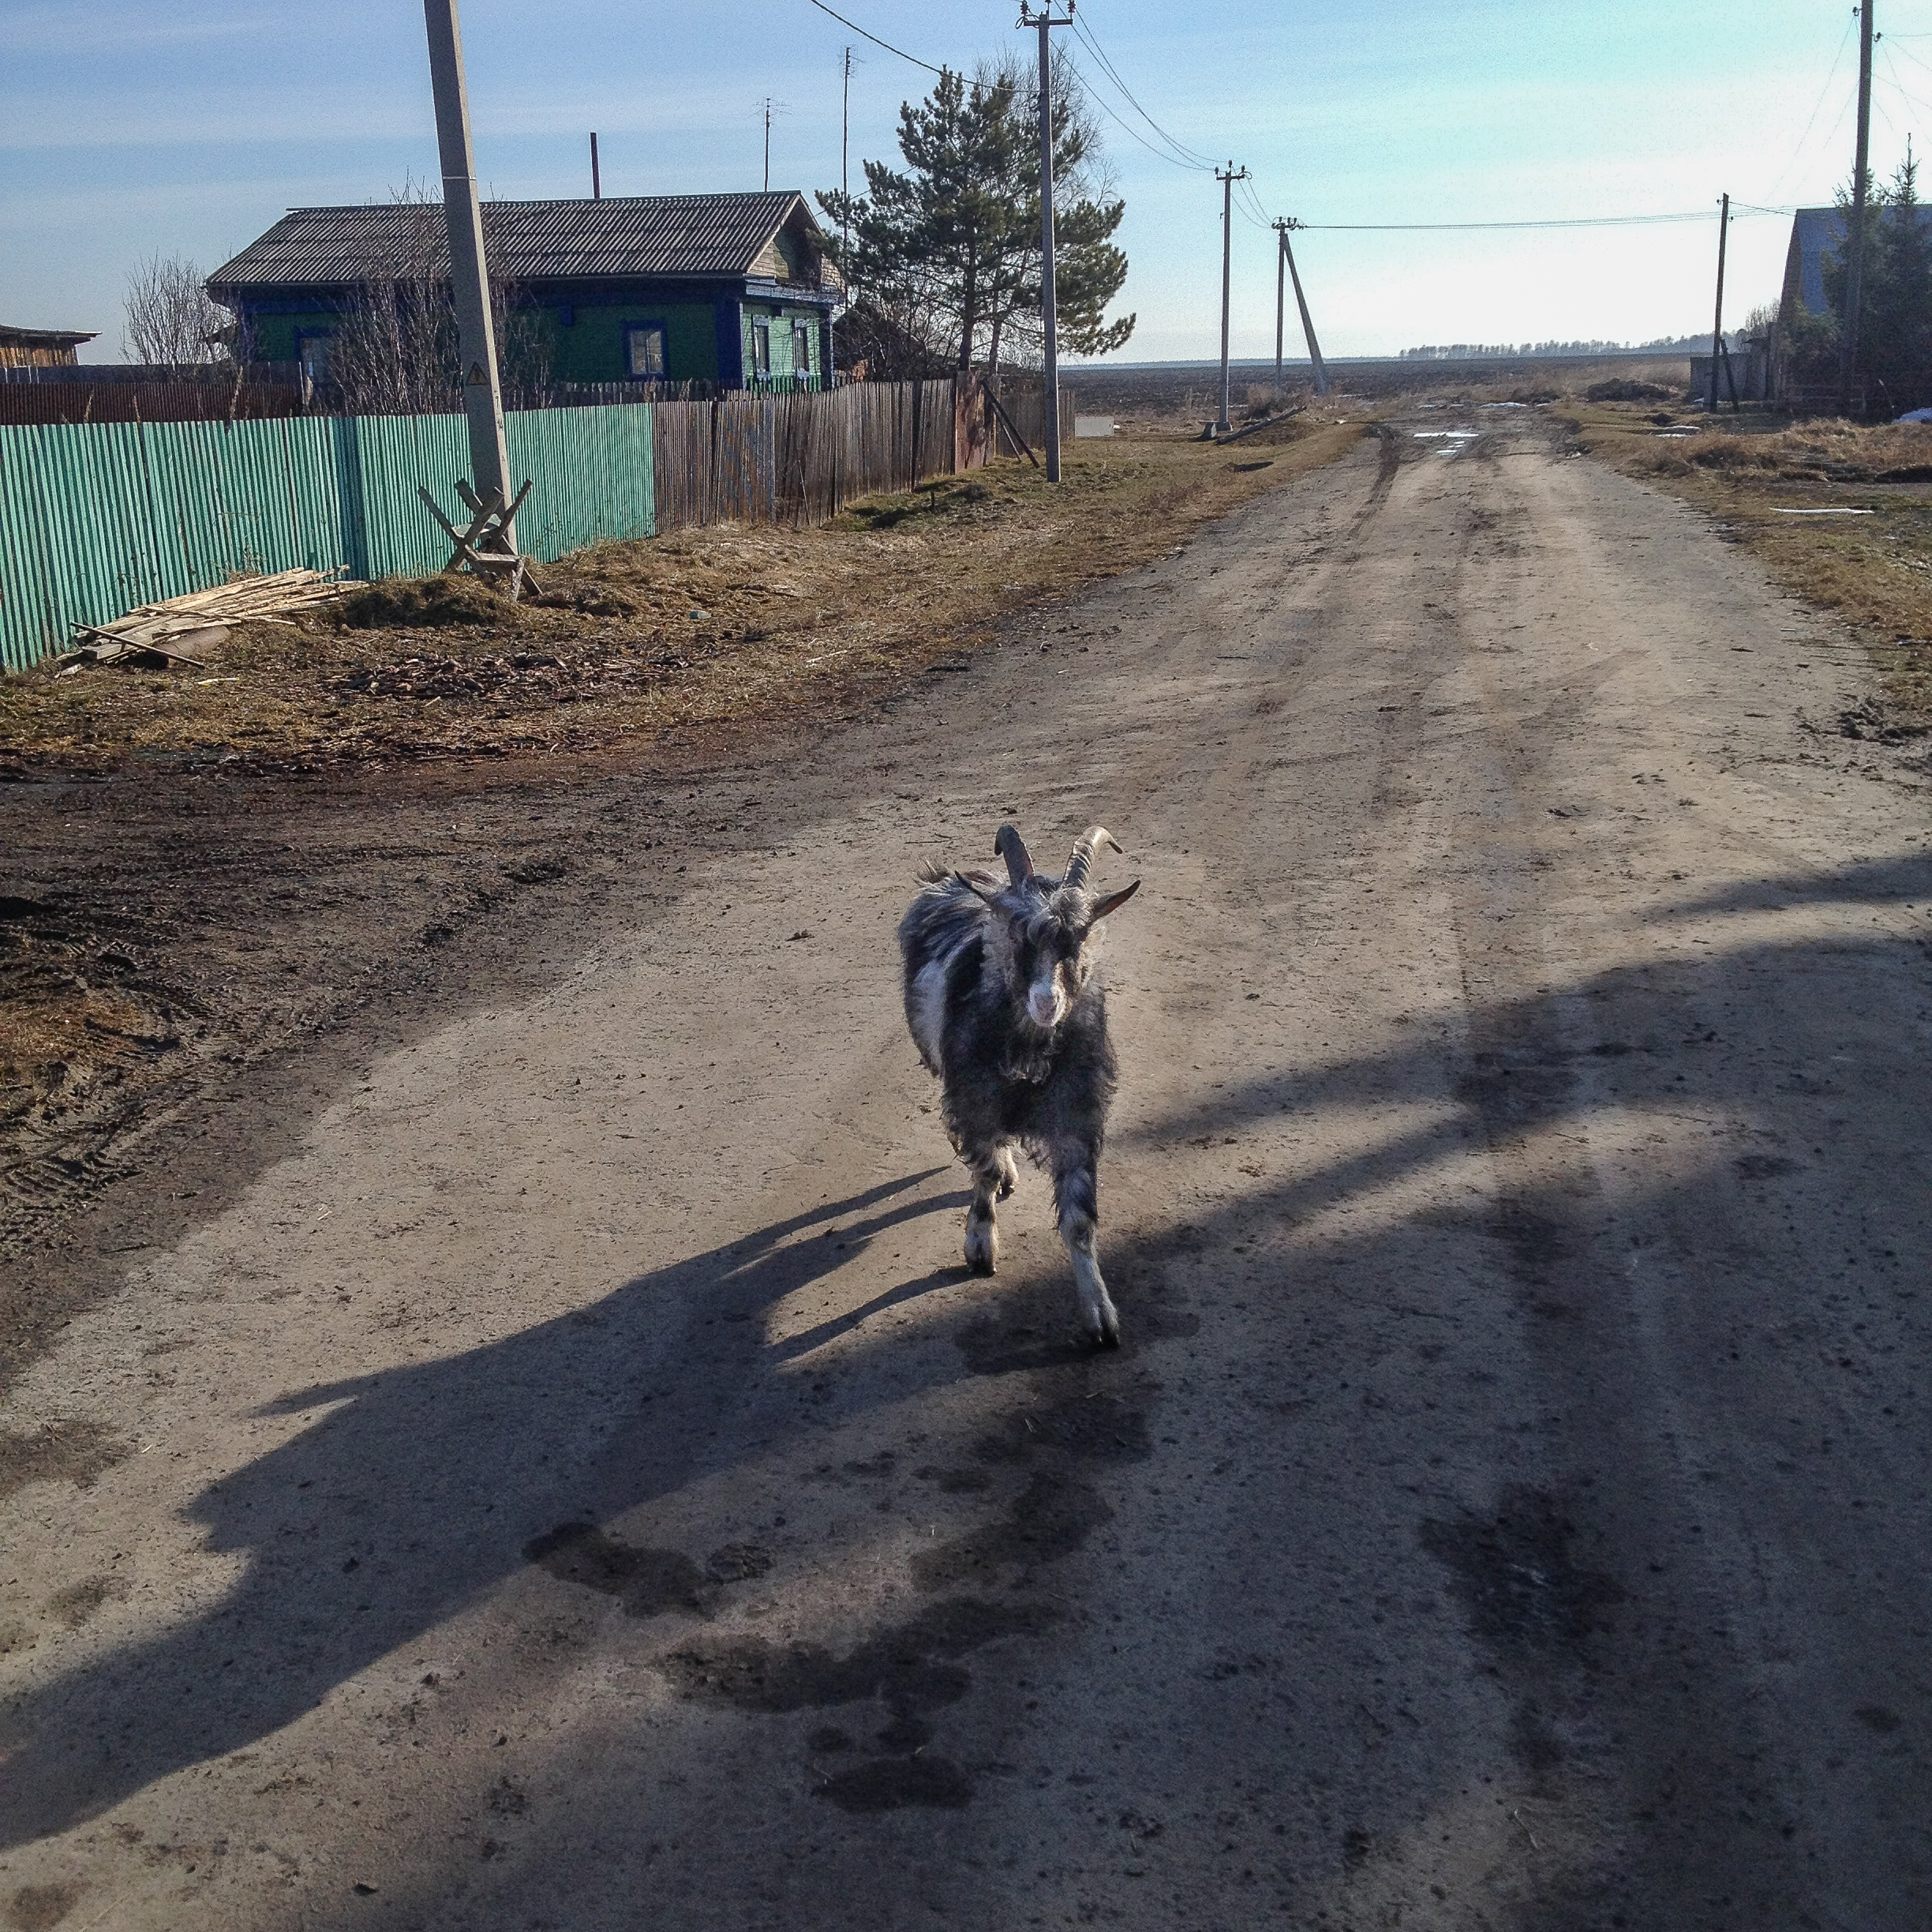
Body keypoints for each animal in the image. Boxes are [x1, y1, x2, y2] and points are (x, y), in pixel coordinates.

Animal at [896, 826, 1136, 1344]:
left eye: (1080, 937)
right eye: (1017, 934)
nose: (1046, 1002)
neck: (1030, 1050)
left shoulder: (1076, 1118)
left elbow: (1080, 1221)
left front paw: (1100, 1315)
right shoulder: (975, 1100)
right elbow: (983, 1170)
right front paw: (980, 1247)